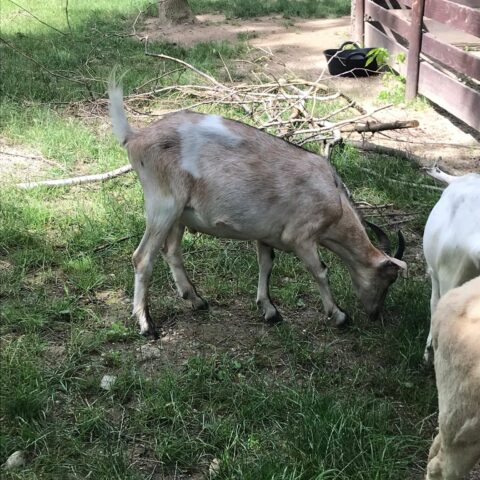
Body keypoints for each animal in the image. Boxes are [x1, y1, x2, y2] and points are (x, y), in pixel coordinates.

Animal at [108, 81, 404, 338]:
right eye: (389, 279)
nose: (375, 314)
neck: (335, 199)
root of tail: (134, 138)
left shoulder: (266, 233)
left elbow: (266, 263)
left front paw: (269, 310)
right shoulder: (302, 237)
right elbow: (320, 270)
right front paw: (340, 315)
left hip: (179, 214)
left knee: (171, 251)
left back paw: (196, 299)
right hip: (163, 205)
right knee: (142, 258)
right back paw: (147, 324)